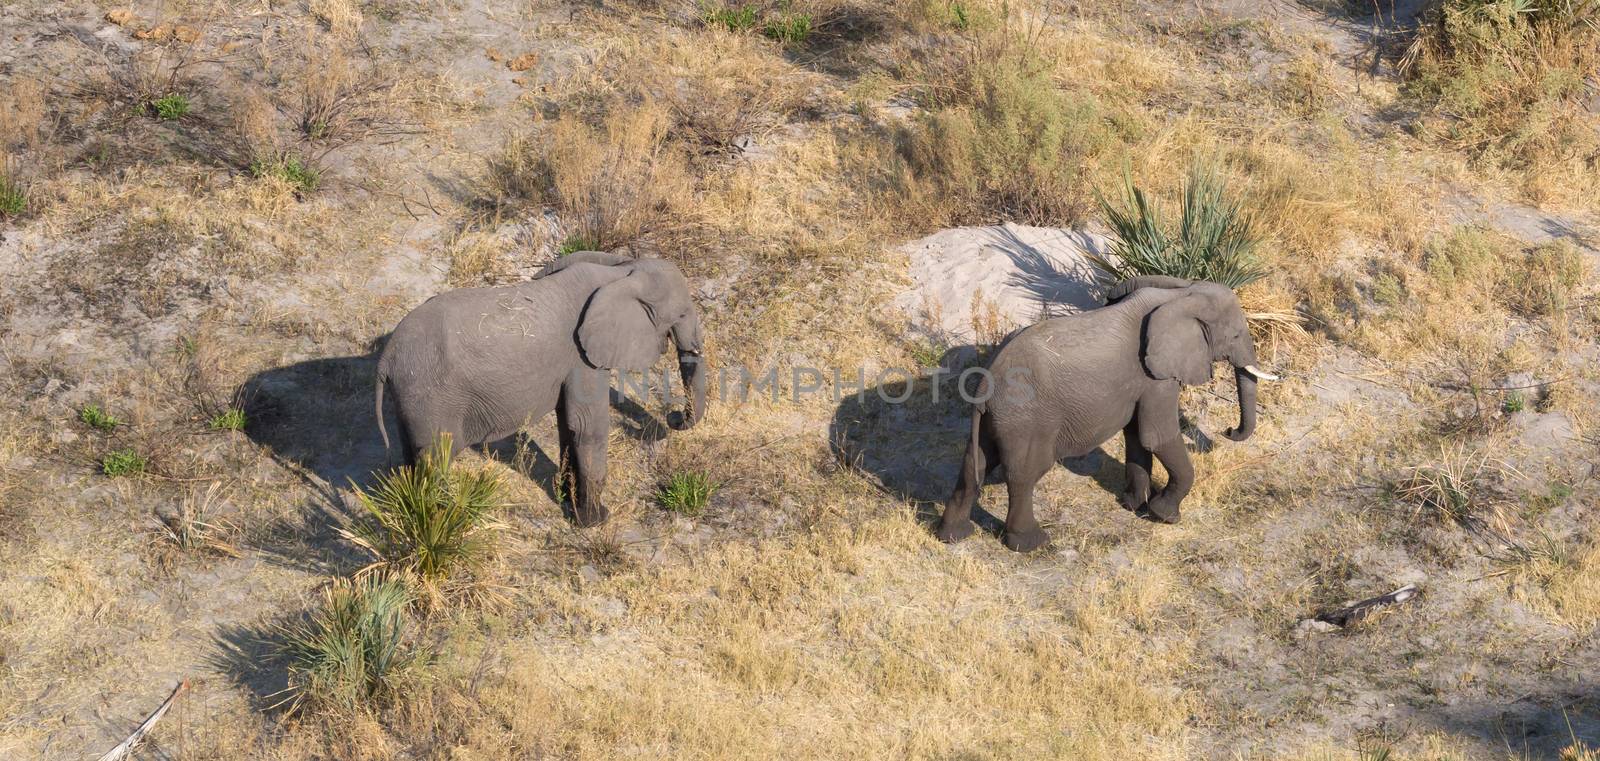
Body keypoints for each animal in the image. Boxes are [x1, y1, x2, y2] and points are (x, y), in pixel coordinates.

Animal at [374, 252, 707, 527]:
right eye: (681, 314)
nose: (674, 416)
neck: (620, 271)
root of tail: (386, 358)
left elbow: (568, 425)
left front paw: (568, 503)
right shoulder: (581, 356)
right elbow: (588, 426)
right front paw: (595, 522)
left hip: (412, 398)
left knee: (411, 456)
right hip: (431, 398)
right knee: (435, 462)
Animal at [934, 276, 1280, 549]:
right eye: (1235, 336)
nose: (1229, 431)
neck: (1180, 293)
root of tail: (985, 384)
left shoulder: (1141, 381)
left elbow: (1137, 436)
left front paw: (1134, 506)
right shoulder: (1156, 377)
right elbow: (1156, 436)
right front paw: (1164, 515)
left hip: (998, 420)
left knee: (974, 465)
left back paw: (953, 535)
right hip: (1027, 420)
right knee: (1024, 475)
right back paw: (1033, 544)